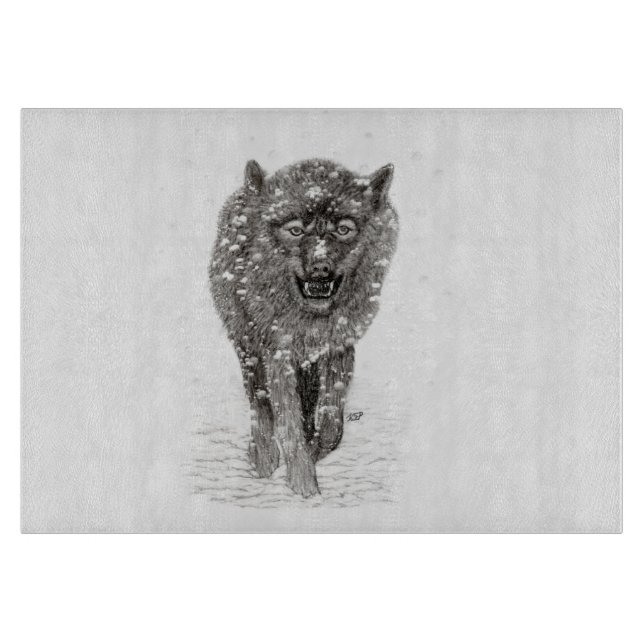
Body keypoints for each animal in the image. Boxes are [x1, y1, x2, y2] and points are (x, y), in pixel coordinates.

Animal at [209, 158, 398, 497]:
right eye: (296, 230)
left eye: (343, 229)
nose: (321, 268)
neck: (311, 321)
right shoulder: (277, 354)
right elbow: (287, 421)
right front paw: (302, 484)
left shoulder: (339, 347)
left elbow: (332, 423)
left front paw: (313, 453)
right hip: (248, 348)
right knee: (259, 404)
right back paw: (263, 457)